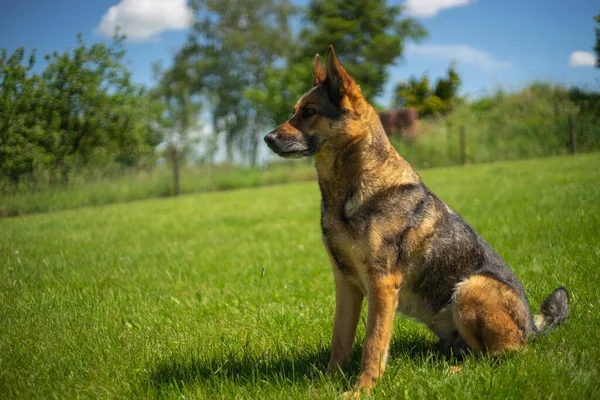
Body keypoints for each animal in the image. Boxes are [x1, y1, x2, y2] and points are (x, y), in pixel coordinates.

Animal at [264, 45, 568, 392]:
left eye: (310, 112)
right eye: (293, 112)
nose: (267, 138)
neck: (347, 191)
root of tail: (533, 328)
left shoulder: (382, 285)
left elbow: (372, 344)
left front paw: (362, 390)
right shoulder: (346, 284)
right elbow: (340, 340)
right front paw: (329, 383)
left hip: (470, 289)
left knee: (501, 356)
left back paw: (456, 372)